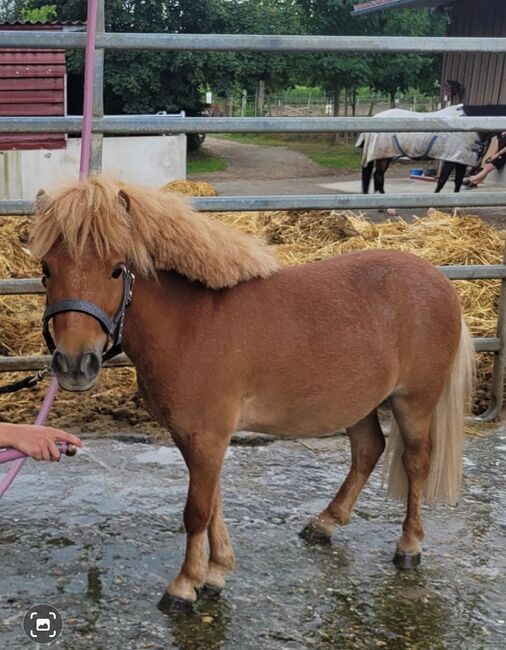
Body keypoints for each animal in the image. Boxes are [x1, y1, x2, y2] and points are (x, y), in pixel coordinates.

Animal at [30, 177, 474, 608]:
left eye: (117, 270)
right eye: (47, 268)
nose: (74, 365)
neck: (191, 322)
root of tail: (440, 282)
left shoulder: (207, 435)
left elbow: (197, 510)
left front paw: (184, 586)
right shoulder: (196, 436)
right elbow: (212, 501)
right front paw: (215, 572)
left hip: (413, 402)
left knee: (416, 462)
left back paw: (409, 546)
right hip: (358, 402)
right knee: (368, 450)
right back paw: (324, 524)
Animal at [356, 104, 486, 192]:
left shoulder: (461, 160)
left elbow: (457, 182)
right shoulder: (452, 159)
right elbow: (442, 181)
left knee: (377, 175)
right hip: (383, 155)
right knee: (378, 176)